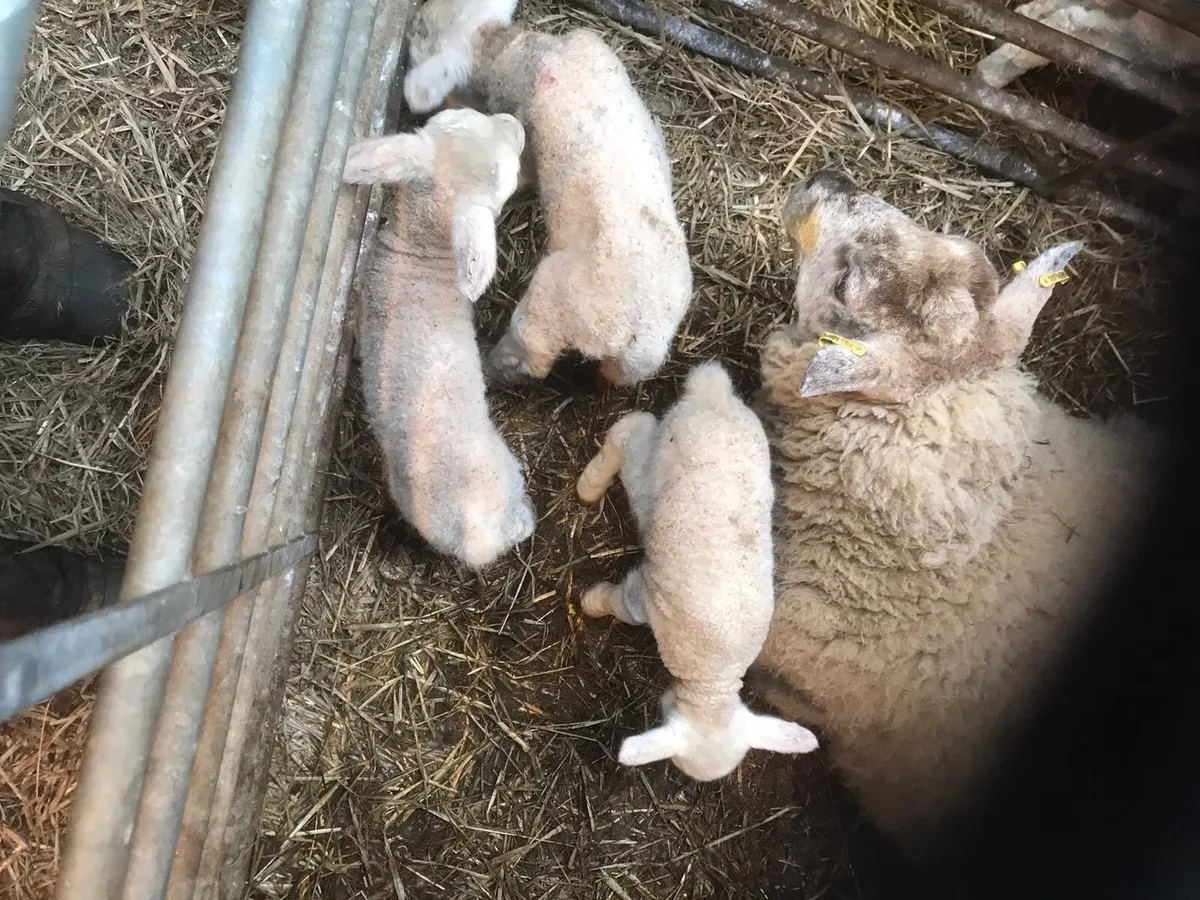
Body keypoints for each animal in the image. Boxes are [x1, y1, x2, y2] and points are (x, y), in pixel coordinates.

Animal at [403, 0, 693, 387]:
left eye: (424, 34)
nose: (414, 20)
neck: (520, 51)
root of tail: (637, 333)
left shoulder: (523, 124)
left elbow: (523, 166)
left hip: (555, 304)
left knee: (530, 356)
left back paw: (492, 364)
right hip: (635, 360)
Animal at [576, 362, 819, 780]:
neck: (712, 677)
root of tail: (713, 394)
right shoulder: (643, 597)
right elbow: (619, 604)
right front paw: (591, 603)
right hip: (657, 463)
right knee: (632, 427)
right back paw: (589, 484)